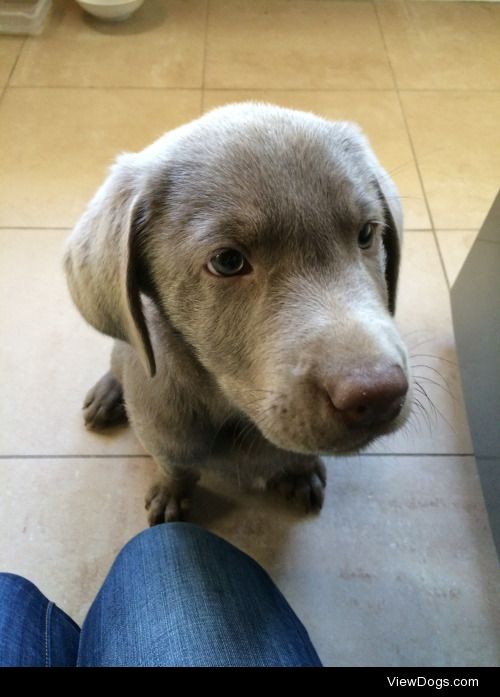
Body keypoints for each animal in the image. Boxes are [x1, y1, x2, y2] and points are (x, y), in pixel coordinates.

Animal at [64, 103, 412, 520]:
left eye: (366, 233)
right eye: (227, 262)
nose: (379, 395)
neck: (234, 414)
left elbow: (297, 456)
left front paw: (299, 473)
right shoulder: (164, 436)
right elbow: (176, 468)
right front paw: (171, 495)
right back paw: (107, 394)